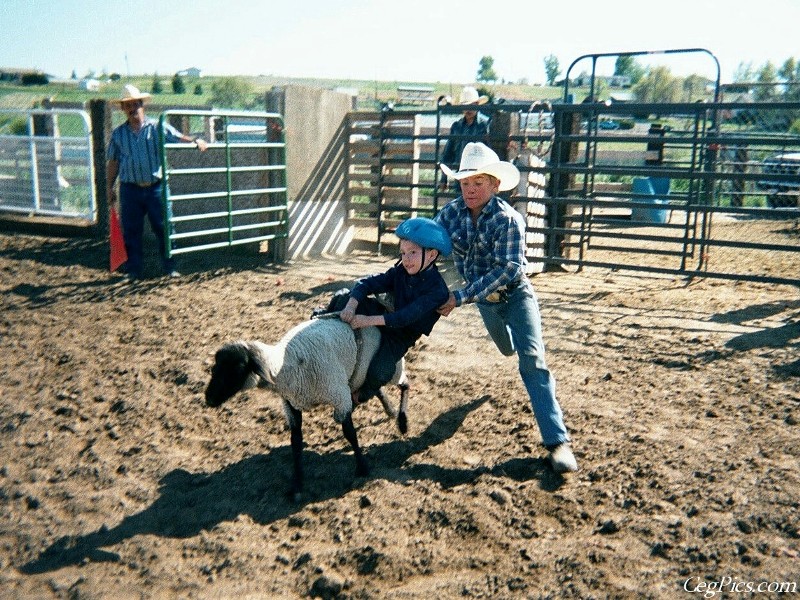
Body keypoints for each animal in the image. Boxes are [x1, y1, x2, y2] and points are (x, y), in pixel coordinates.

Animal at [203, 316, 410, 500]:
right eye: (215, 366)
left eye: (238, 367)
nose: (209, 399)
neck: (287, 363)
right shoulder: (291, 404)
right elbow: (296, 442)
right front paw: (297, 485)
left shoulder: (339, 396)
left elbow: (350, 433)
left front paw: (362, 468)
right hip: (360, 374)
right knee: (375, 388)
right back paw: (391, 411)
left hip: (392, 368)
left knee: (403, 384)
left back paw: (402, 422)